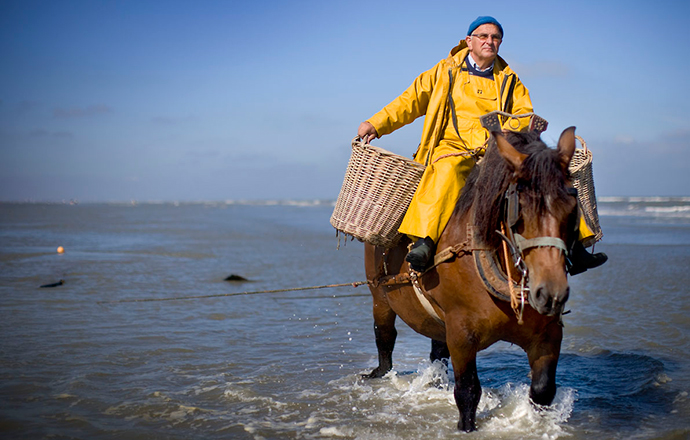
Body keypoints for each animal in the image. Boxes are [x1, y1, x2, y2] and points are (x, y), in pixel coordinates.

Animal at [362, 126, 576, 430]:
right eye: (519, 209)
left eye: (572, 206)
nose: (550, 293)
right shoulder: (462, 335)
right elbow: (467, 392)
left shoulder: (548, 334)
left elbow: (543, 391)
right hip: (379, 295)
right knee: (385, 336)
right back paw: (380, 372)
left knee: (436, 349)